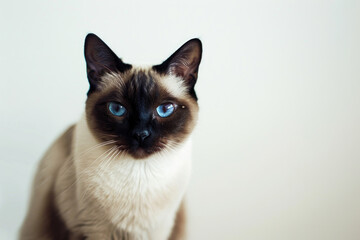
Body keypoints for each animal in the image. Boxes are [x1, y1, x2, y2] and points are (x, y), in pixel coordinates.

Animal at [19, 34, 202, 240]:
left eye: (165, 109)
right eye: (117, 109)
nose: (141, 134)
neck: (139, 176)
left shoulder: (157, 232)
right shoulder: (89, 230)